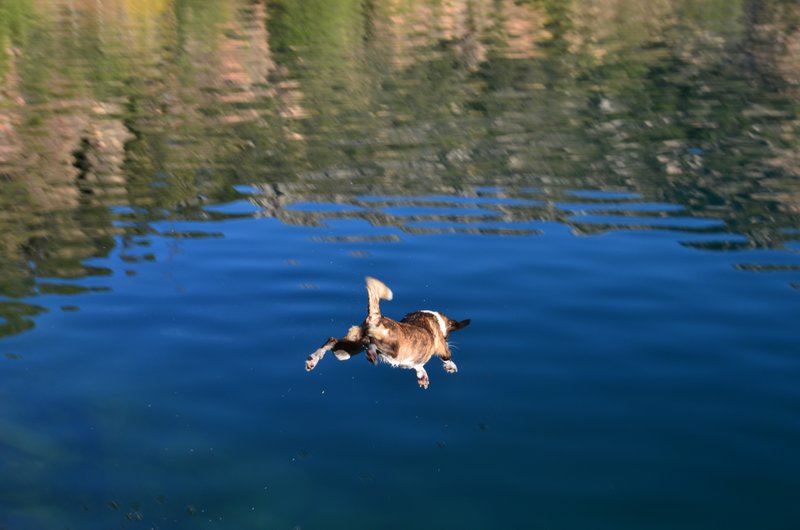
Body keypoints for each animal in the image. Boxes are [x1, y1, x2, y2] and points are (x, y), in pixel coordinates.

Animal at [304, 276, 468, 388]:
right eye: (446, 337)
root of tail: (376, 316)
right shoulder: (442, 348)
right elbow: (446, 356)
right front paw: (450, 366)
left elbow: (419, 367)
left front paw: (422, 376)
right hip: (391, 348)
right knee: (373, 344)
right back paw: (371, 354)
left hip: (345, 351)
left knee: (333, 340)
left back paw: (313, 359)